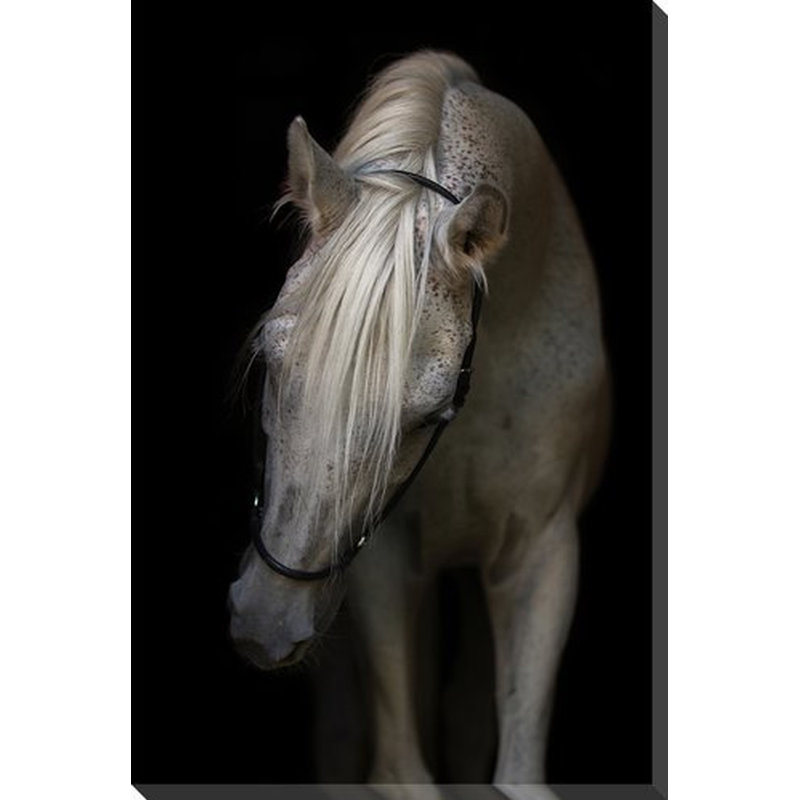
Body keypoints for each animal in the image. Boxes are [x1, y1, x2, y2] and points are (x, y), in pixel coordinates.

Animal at [228, 51, 610, 800]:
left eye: (429, 414)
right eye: (270, 361)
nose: (265, 621)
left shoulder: (543, 554)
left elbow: (515, 769)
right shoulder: (384, 559)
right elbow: (400, 769)